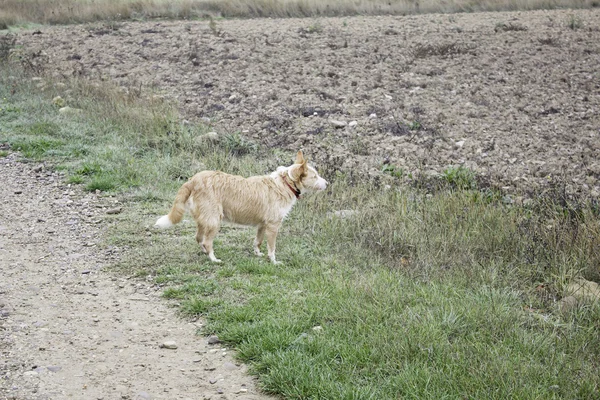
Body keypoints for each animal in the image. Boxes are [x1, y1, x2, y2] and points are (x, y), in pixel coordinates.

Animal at [152, 152, 326, 264]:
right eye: (315, 176)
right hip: (215, 221)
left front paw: (258, 254)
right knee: (207, 242)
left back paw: (205, 253)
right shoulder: (273, 226)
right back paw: (214, 259)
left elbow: (257, 242)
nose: (327, 183)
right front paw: (274, 262)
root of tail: (193, 180)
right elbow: (272, 248)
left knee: (199, 238)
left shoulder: (262, 225)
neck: (285, 182)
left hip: (205, 220)